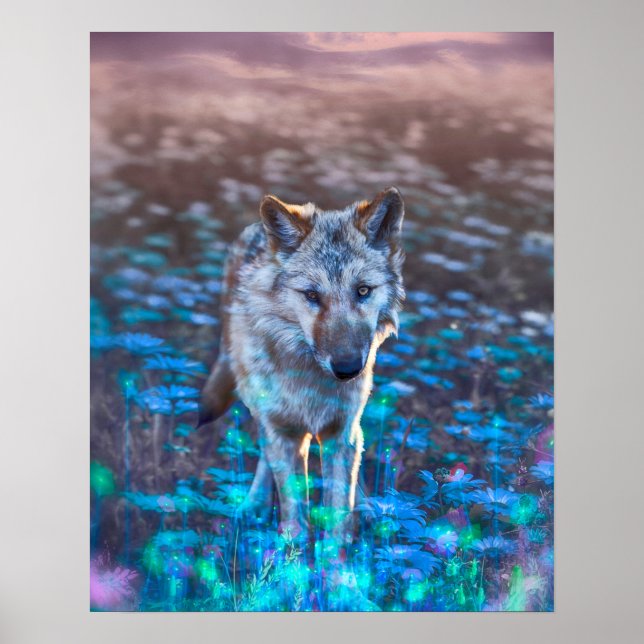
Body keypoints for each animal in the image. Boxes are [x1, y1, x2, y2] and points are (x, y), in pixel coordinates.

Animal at [199, 187, 405, 544]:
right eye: (311, 295)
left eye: (363, 291)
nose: (348, 368)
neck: (310, 383)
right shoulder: (282, 432)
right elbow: (295, 515)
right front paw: (291, 554)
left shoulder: (341, 432)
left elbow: (338, 514)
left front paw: (339, 555)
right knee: (266, 456)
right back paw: (254, 505)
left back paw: (365, 508)